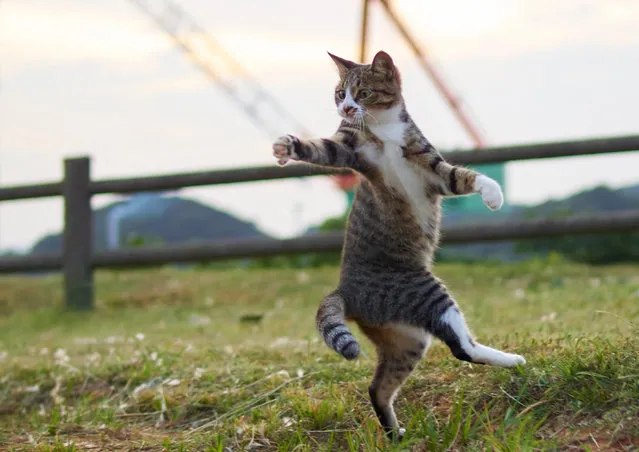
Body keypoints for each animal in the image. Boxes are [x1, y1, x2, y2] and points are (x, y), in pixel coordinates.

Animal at [270, 50, 524, 442]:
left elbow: (464, 175)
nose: (346, 107)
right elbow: (322, 148)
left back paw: (395, 434)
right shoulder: (348, 148)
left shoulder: (432, 169)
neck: (383, 127)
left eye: (362, 92)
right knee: (460, 348)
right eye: (339, 93)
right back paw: (512, 360)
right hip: (427, 293)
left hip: (406, 340)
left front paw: (493, 194)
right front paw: (288, 145)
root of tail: (345, 290)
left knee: (378, 387)